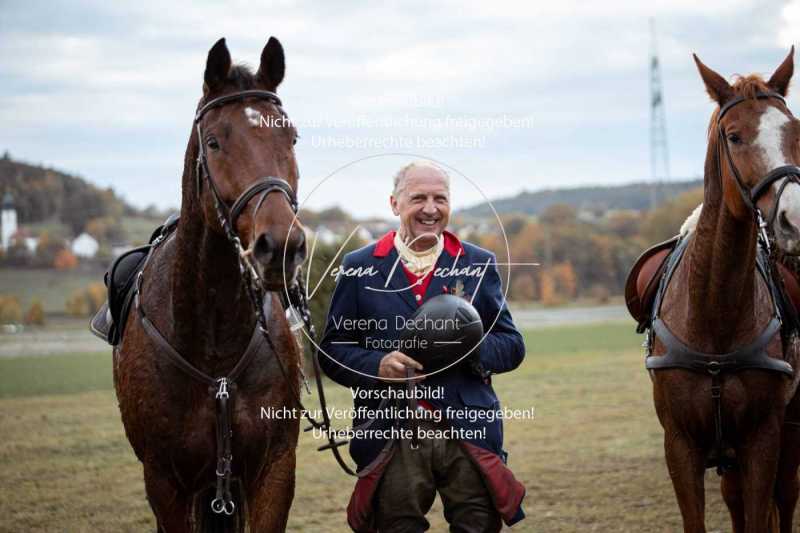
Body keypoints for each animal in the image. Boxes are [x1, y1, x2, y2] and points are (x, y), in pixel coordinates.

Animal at [115, 36, 306, 528]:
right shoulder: (165, 484)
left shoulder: (274, 472)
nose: (281, 247)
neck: (214, 346)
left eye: (291, 136)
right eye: (216, 141)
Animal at [648, 51, 800, 532]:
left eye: (796, 131)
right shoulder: (680, 446)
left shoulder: (764, 441)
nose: (794, 219)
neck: (714, 313)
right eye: (734, 136)